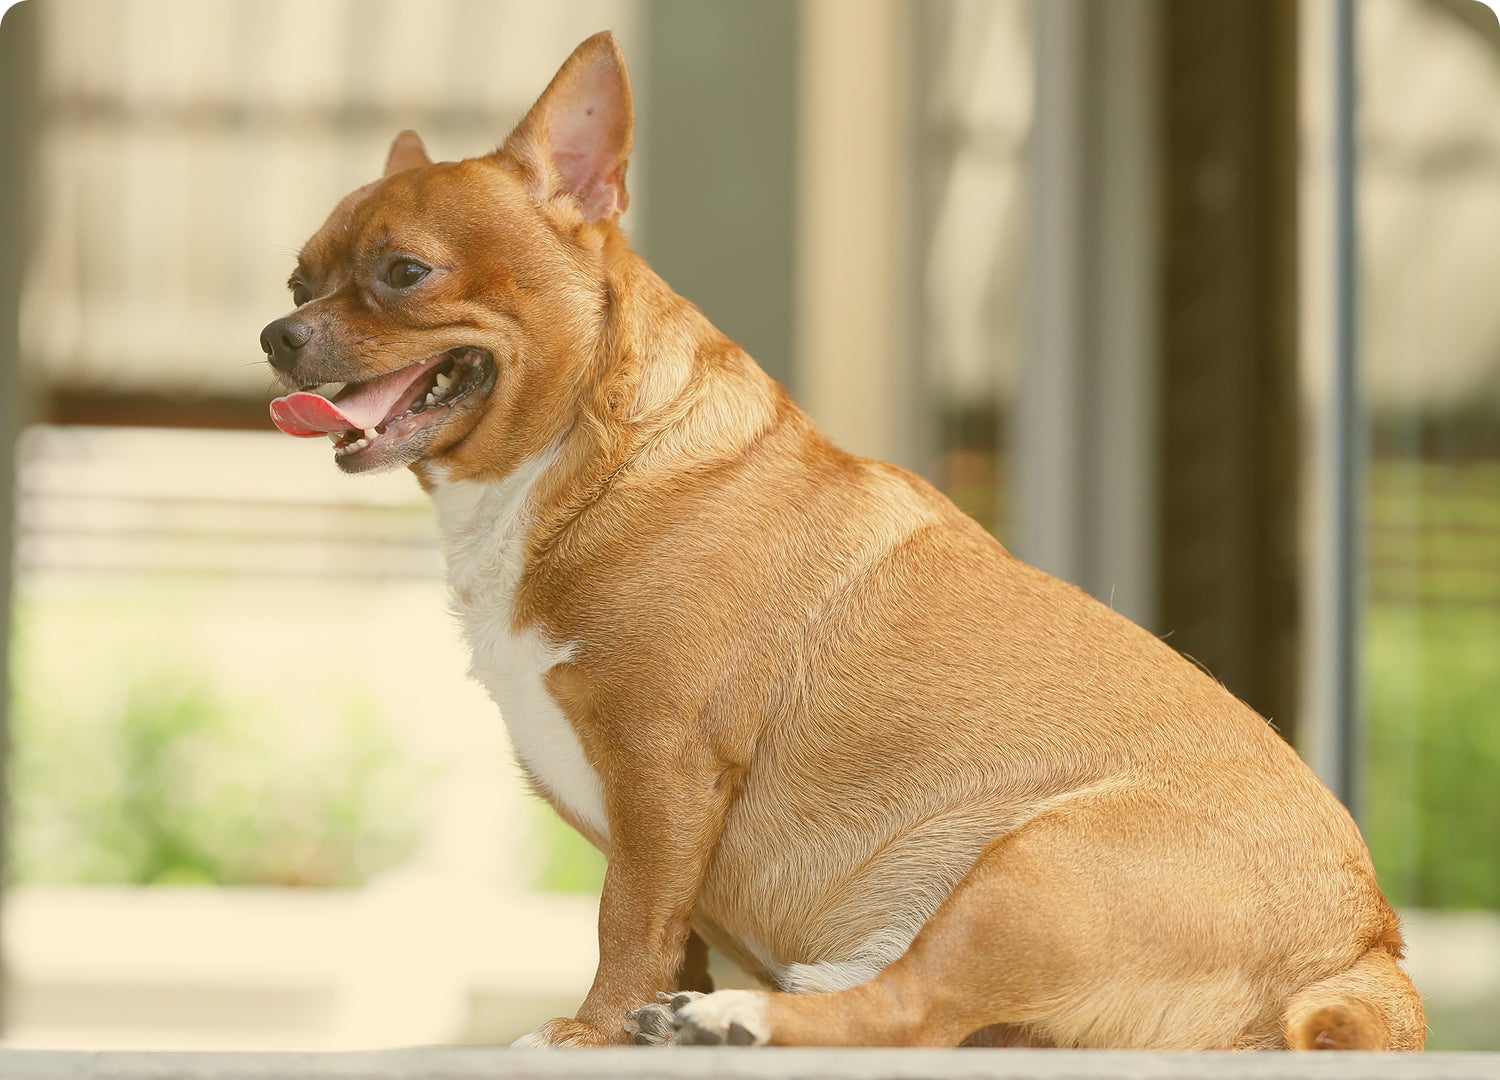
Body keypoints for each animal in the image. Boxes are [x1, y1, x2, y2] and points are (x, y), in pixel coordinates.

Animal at [261, 31, 1424, 1051]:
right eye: (296, 282)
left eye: (404, 273)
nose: (278, 335)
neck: (580, 462)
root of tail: (1370, 949)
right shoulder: (657, 820)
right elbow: (667, 929)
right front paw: (634, 1022)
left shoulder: (664, 768)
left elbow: (627, 916)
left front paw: (592, 1032)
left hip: (1032, 872)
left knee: (910, 1014)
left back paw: (743, 1019)